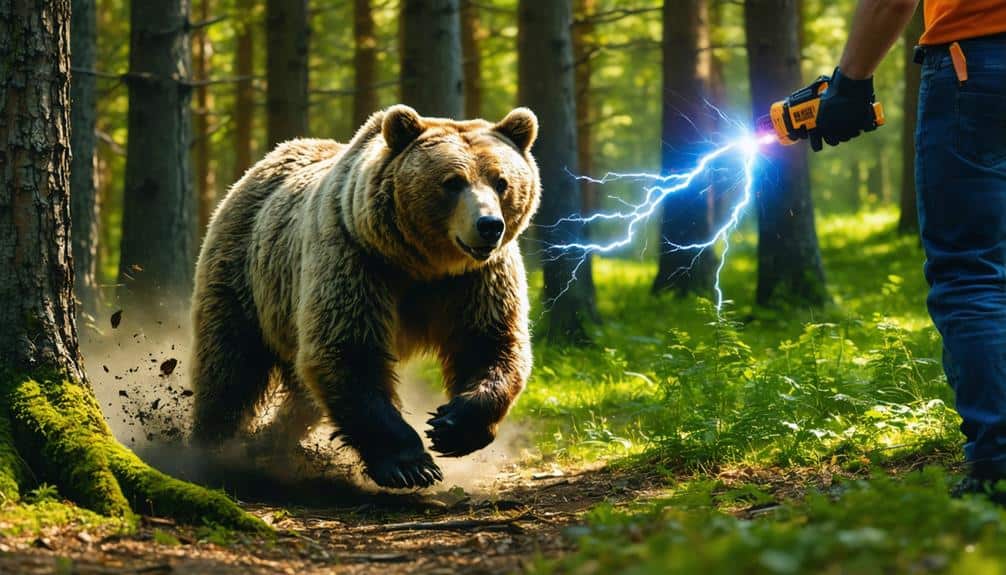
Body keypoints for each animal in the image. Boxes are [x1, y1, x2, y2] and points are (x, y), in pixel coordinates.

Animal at [189, 105, 540, 489]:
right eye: (452, 181)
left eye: (501, 182)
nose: (489, 225)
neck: (424, 265)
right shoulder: (357, 259)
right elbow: (349, 350)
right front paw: (411, 464)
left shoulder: (477, 279)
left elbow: (489, 343)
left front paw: (452, 425)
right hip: (245, 276)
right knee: (229, 364)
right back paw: (211, 446)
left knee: (302, 392)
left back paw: (269, 441)